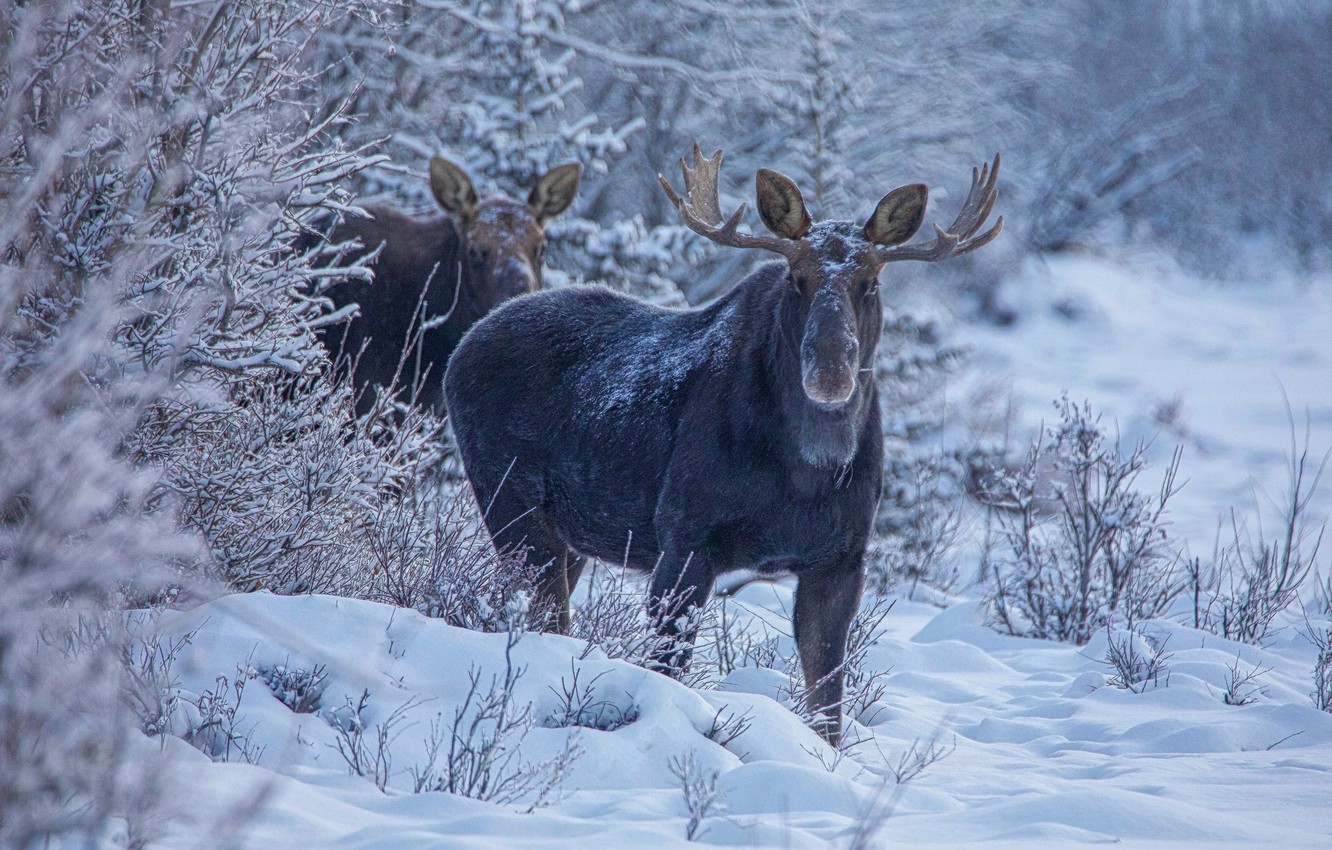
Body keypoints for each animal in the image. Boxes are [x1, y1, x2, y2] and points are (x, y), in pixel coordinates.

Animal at [444, 146, 1001, 746]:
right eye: (797, 278)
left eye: (871, 281)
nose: (830, 370)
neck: (807, 472)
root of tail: (460, 350)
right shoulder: (684, 536)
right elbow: (666, 666)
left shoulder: (842, 558)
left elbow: (827, 699)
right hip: (510, 502)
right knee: (543, 611)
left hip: (569, 537)